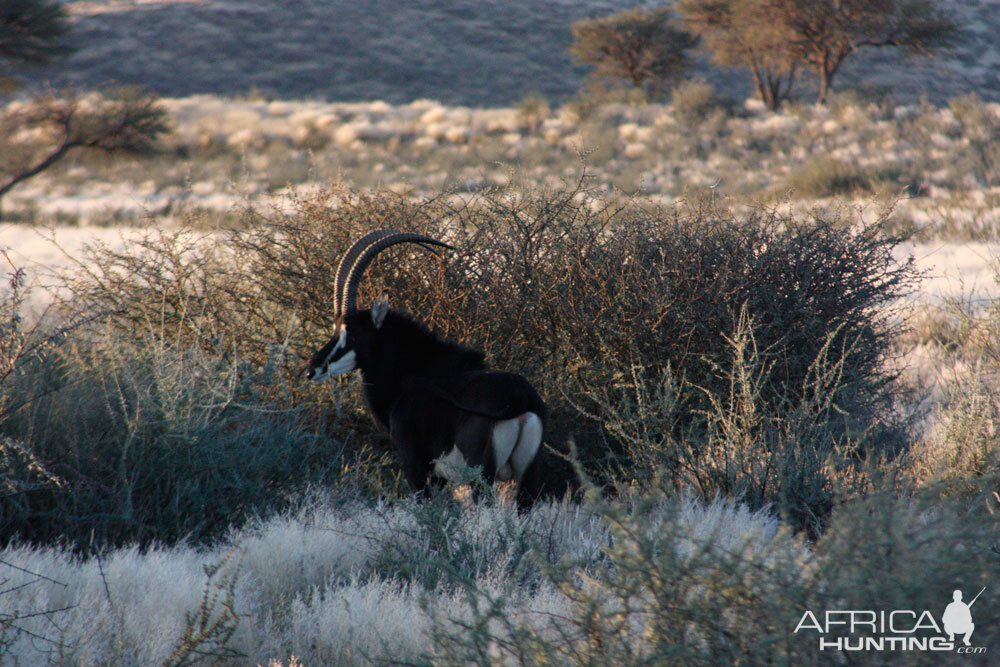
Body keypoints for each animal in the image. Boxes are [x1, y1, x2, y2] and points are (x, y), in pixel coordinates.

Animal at [308, 230, 548, 506]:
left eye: (353, 334)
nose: (313, 369)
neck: (412, 374)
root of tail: (520, 397)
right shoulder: (440, 477)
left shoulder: (415, 466)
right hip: (527, 477)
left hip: (481, 475)